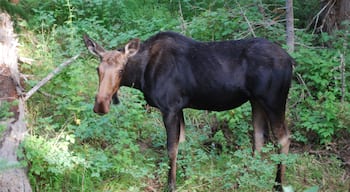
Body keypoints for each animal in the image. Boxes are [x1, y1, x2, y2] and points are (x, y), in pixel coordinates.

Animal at [83, 31, 294, 190]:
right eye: (97, 69)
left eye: (121, 70)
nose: (100, 104)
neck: (141, 76)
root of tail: (291, 61)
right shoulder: (180, 108)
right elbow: (183, 143)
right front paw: (185, 177)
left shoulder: (169, 108)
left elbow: (171, 148)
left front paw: (171, 184)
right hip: (256, 101)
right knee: (258, 139)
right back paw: (243, 179)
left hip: (273, 101)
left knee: (283, 139)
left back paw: (277, 185)